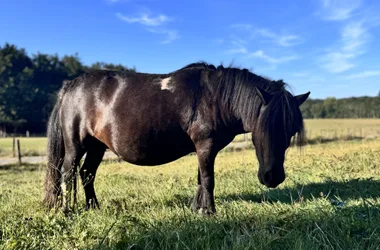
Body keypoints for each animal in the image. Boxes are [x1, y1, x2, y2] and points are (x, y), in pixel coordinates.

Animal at [43, 62, 310, 215]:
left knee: (87, 173)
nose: (273, 177)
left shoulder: (203, 148)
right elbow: (208, 179)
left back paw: (93, 208)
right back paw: (67, 211)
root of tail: (71, 86)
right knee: (67, 172)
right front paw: (209, 212)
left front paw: (197, 208)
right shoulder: (205, 144)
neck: (216, 97)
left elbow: (200, 178)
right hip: (76, 145)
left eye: (290, 131)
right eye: (261, 128)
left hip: (98, 146)